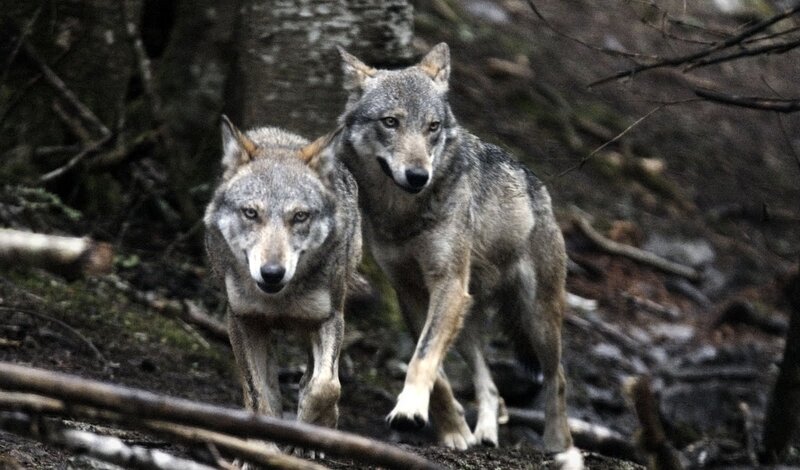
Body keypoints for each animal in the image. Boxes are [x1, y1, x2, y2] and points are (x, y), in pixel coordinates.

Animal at [204, 116, 361, 449]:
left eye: (300, 216)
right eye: (251, 213)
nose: (272, 273)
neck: (279, 300)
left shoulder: (329, 318)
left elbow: (326, 386)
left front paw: (315, 427)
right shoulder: (242, 320)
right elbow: (257, 394)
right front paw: (260, 445)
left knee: (314, 374)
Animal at [334, 43, 581, 464]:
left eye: (432, 127)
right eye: (390, 122)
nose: (419, 176)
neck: (403, 214)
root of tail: (541, 190)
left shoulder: (447, 284)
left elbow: (422, 359)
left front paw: (409, 409)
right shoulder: (411, 293)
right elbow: (439, 376)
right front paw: (451, 431)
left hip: (536, 319)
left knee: (558, 377)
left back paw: (560, 446)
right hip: (467, 319)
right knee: (492, 386)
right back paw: (485, 433)